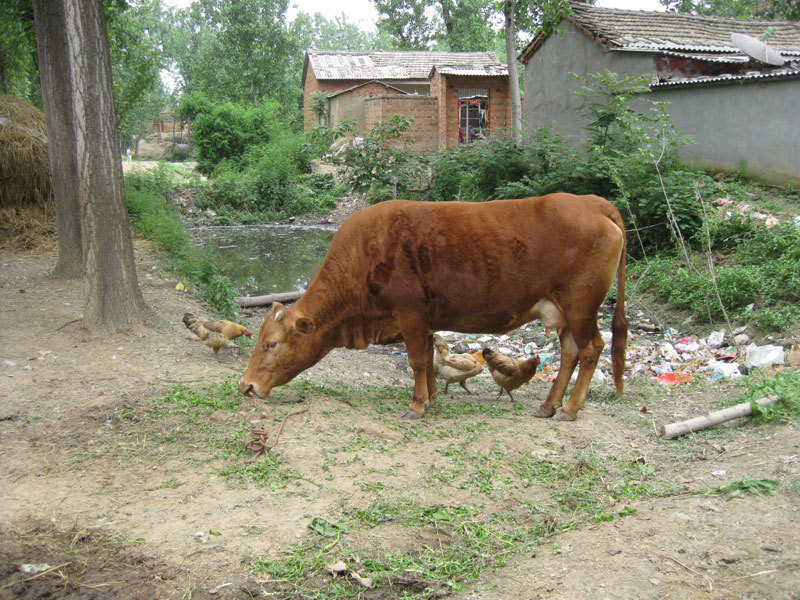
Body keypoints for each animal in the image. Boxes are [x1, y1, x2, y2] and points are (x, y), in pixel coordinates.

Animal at [241, 195, 628, 420]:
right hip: (564, 311)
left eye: (271, 343)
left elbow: (415, 360)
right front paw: (432, 399)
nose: (246, 385)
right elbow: (427, 359)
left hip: (580, 305)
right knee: (570, 352)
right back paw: (548, 406)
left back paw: (570, 409)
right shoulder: (424, 321)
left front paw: (416, 405)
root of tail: (591, 202)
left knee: (590, 349)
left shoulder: (410, 313)